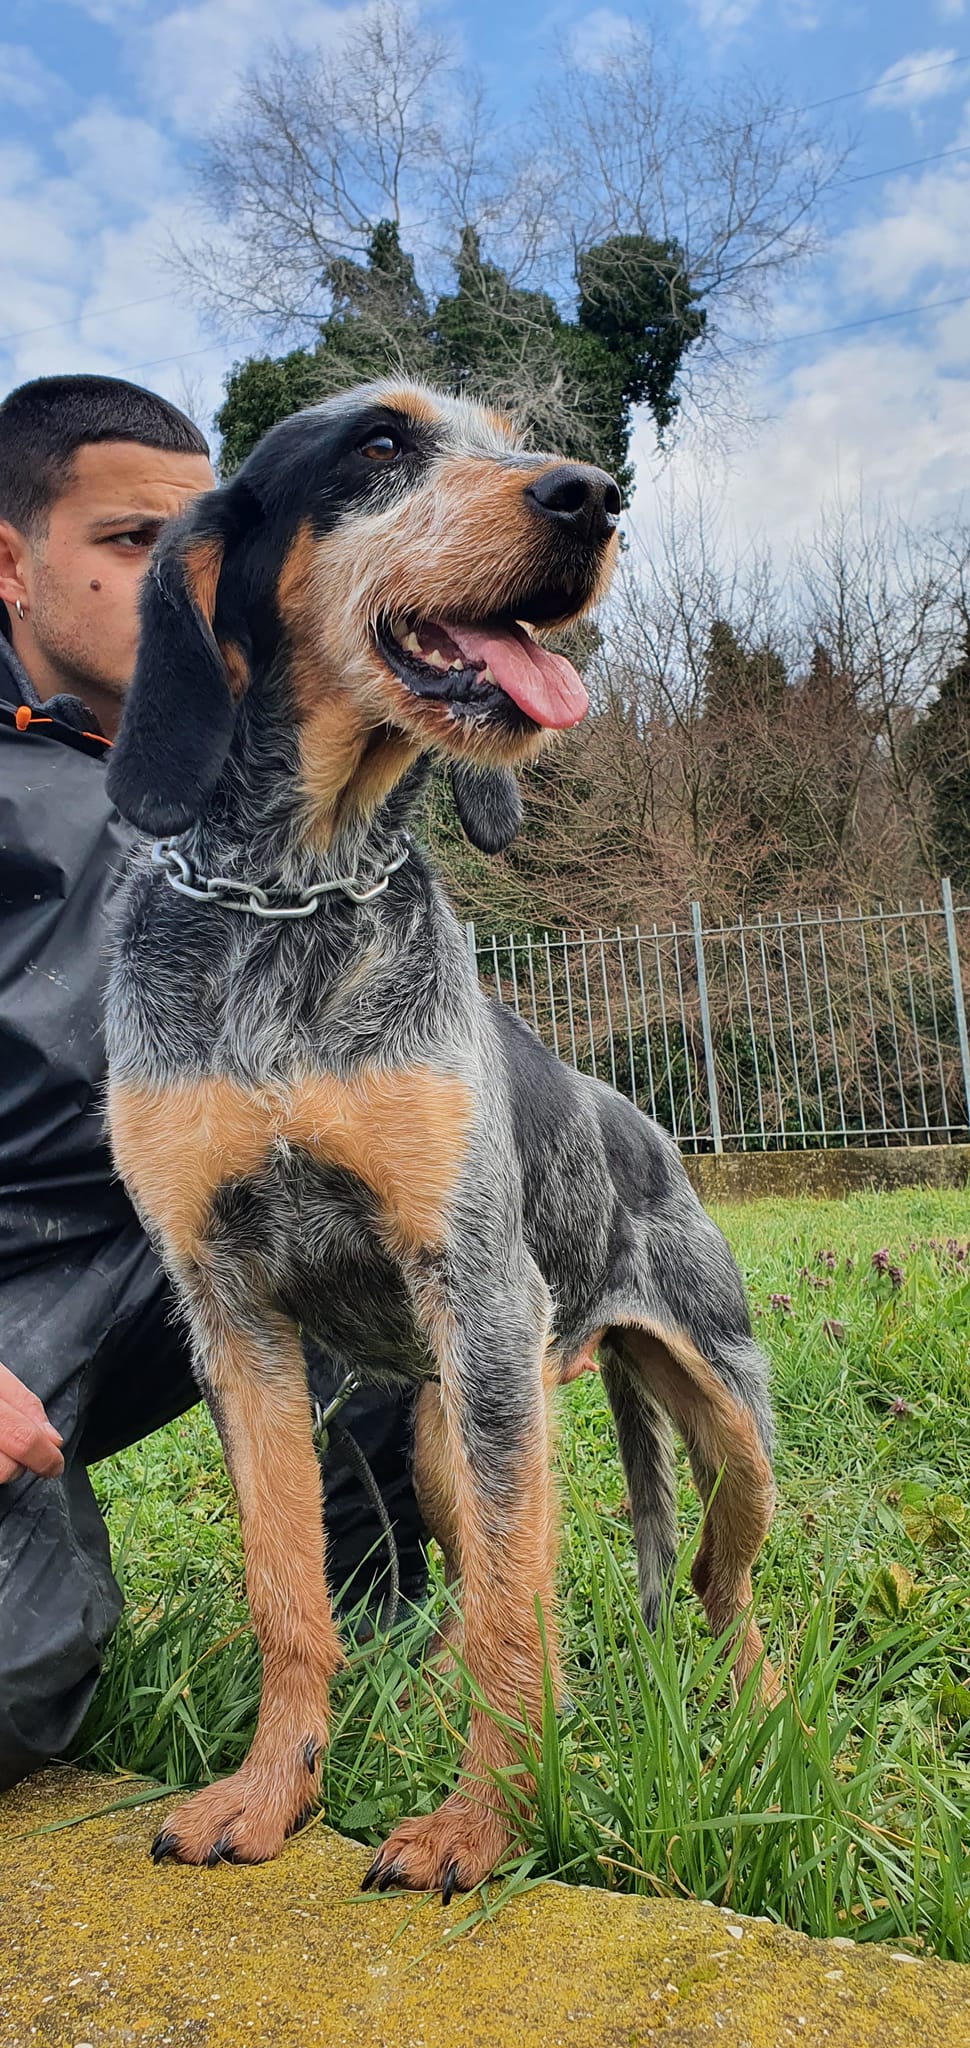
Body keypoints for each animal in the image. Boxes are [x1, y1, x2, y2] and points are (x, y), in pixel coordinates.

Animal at [104, 380, 778, 1895]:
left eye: (507, 433)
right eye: (378, 445)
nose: (593, 495)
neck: (294, 893)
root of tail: (647, 1129)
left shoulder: (473, 1284)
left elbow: (520, 1616)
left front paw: (484, 1826)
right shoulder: (231, 1315)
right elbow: (289, 1590)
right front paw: (269, 1794)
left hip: (712, 1412)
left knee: (722, 1584)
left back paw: (775, 1724)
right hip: (444, 1420)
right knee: (500, 1577)